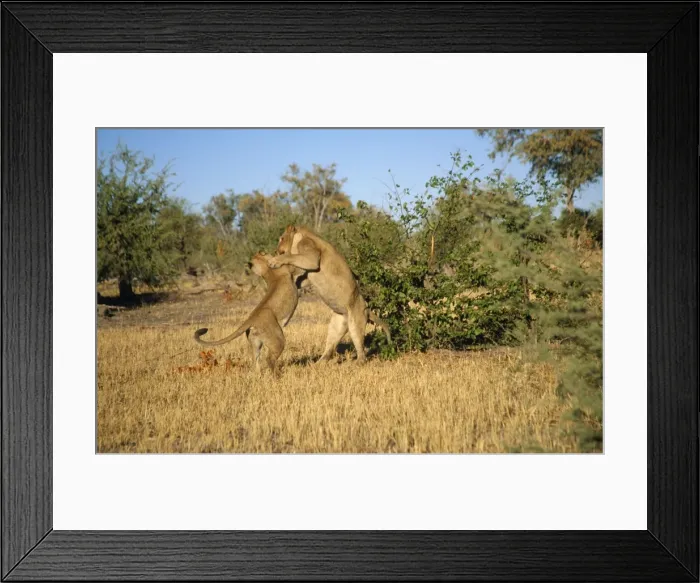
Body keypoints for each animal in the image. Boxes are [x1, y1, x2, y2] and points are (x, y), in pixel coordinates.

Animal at [267, 224, 391, 364]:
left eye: (281, 238)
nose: (276, 250)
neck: (300, 236)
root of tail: (367, 309)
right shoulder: (308, 273)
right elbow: (301, 278)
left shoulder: (311, 256)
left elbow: (291, 257)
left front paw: (274, 261)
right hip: (337, 325)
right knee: (330, 346)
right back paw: (318, 363)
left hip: (355, 322)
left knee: (360, 348)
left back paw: (357, 363)